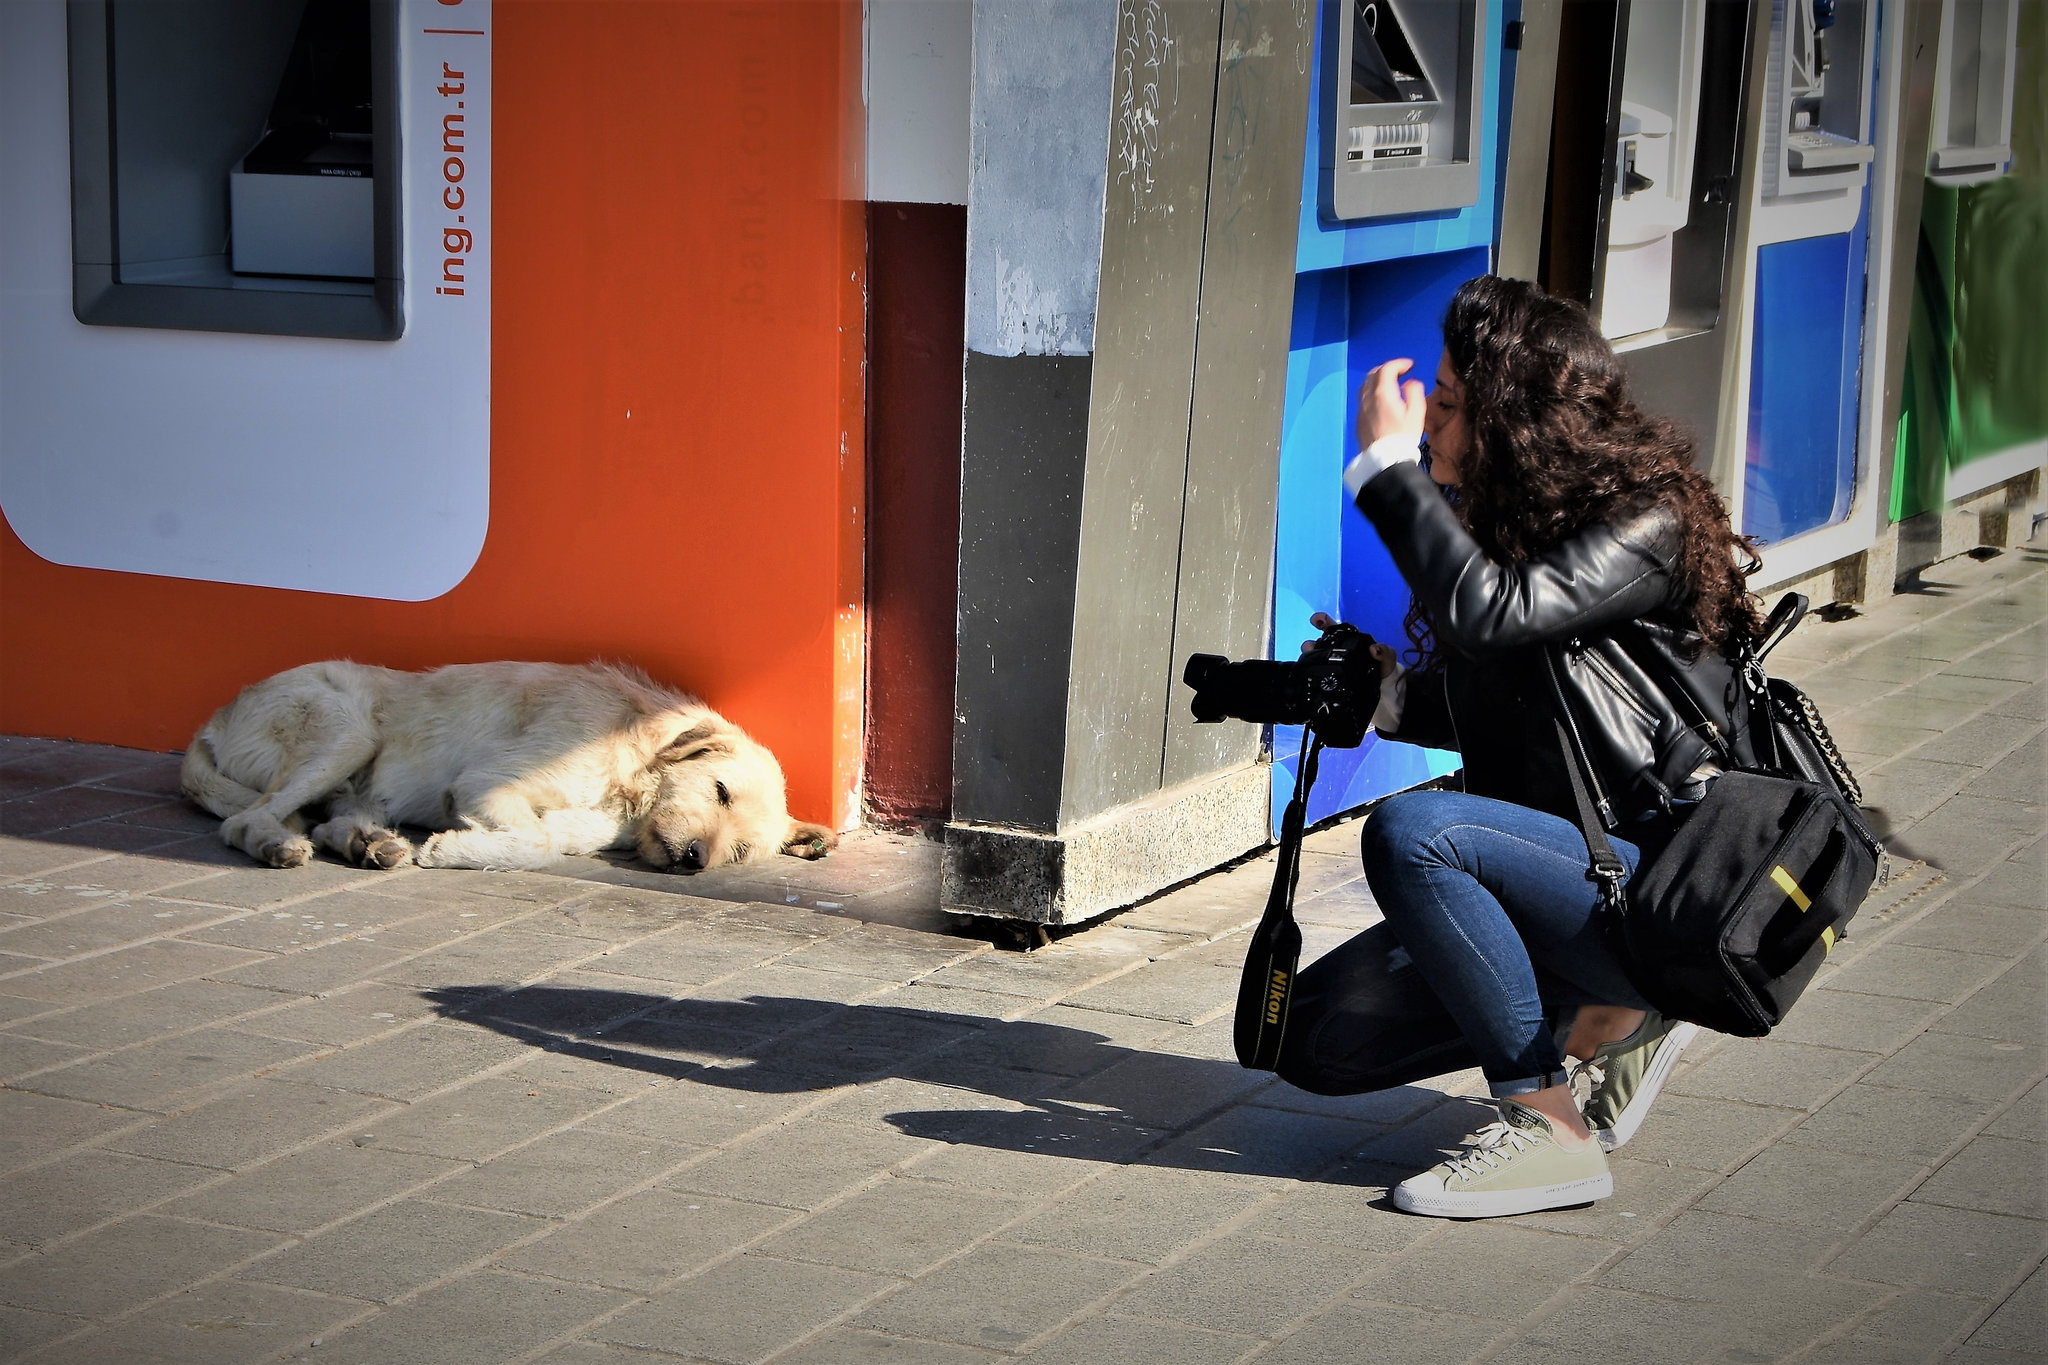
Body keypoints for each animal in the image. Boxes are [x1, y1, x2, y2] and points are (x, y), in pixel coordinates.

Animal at [180, 663, 835, 875]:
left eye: (740, 852)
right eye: (720, 790)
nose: (696, 859)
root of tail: (213, 721)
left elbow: (547, 839)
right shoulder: (486, 784)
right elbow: (537, 842)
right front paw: (450, 848)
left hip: (357, 779)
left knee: (326, 820)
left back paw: (370, 843)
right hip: (346, 730)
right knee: (245, 820)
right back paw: (277, 845)